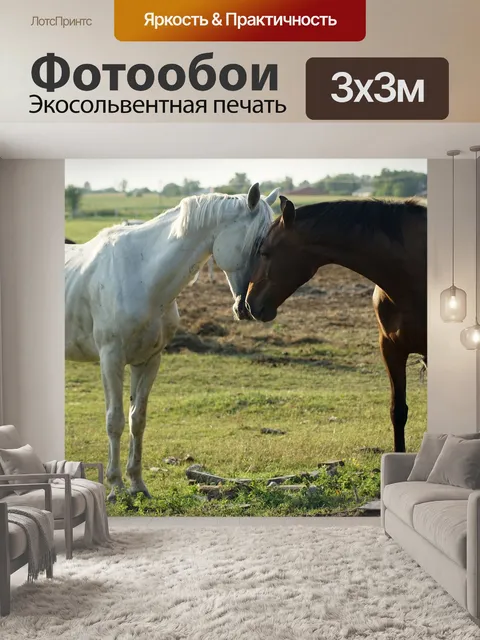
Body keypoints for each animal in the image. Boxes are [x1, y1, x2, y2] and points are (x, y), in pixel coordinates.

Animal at [65, 184, 279, 500]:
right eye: (258, 246)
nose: (250, 307)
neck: (141, 274)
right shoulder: (111, 359)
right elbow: (115, 421)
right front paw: (115, 486)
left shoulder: (148, 360)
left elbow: (137, 420)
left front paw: (137, 485)